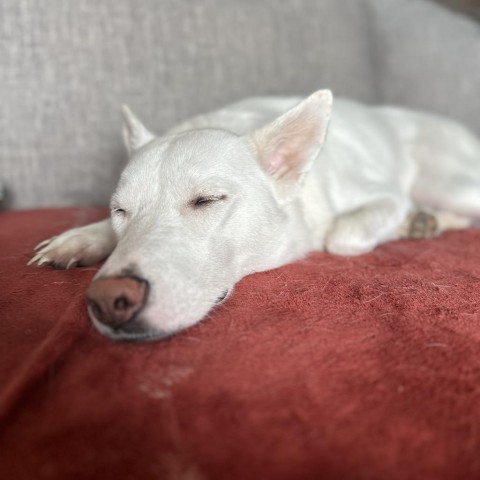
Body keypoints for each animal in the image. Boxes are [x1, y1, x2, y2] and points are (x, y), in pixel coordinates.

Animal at [27, 92, 480, 342]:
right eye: (120, 210)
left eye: (207, 200)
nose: (108, 302)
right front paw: (84, 237)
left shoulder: (383, 196)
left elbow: (341, 237)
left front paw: (405, 223)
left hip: (447, 183)